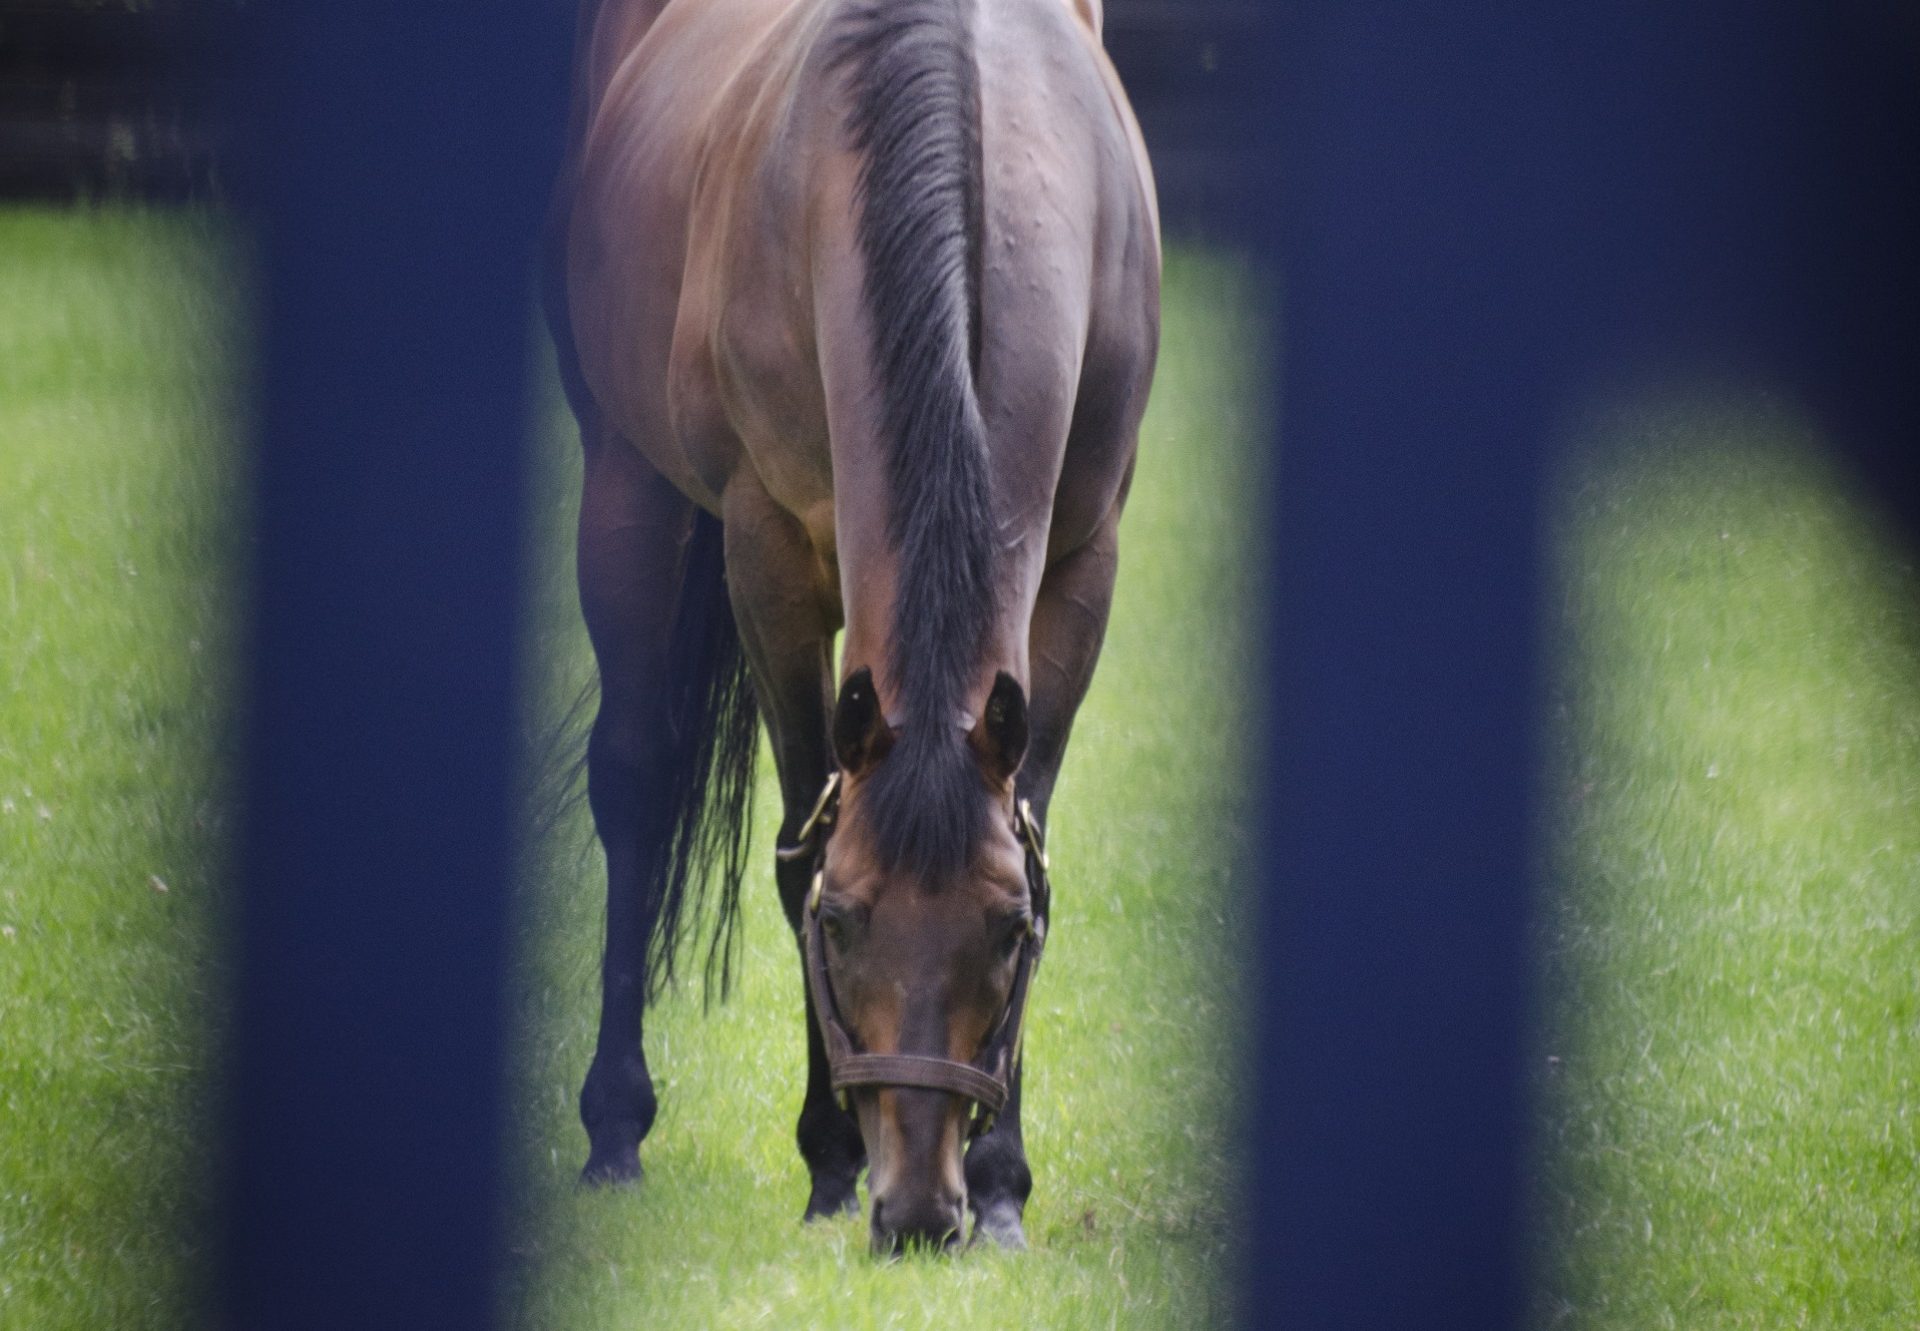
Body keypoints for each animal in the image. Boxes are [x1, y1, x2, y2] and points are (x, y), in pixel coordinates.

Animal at [549, 0, 1159, 1252]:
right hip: (626, 480)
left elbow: (1037, 831)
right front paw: (828, 1162)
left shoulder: (1085, 565)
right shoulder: (768, 557)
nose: (920, 1207)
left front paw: (1007, 1183)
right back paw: (616, 1126)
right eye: (842, 922)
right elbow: (796, 840)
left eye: (1006, 930)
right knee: (633, 779)